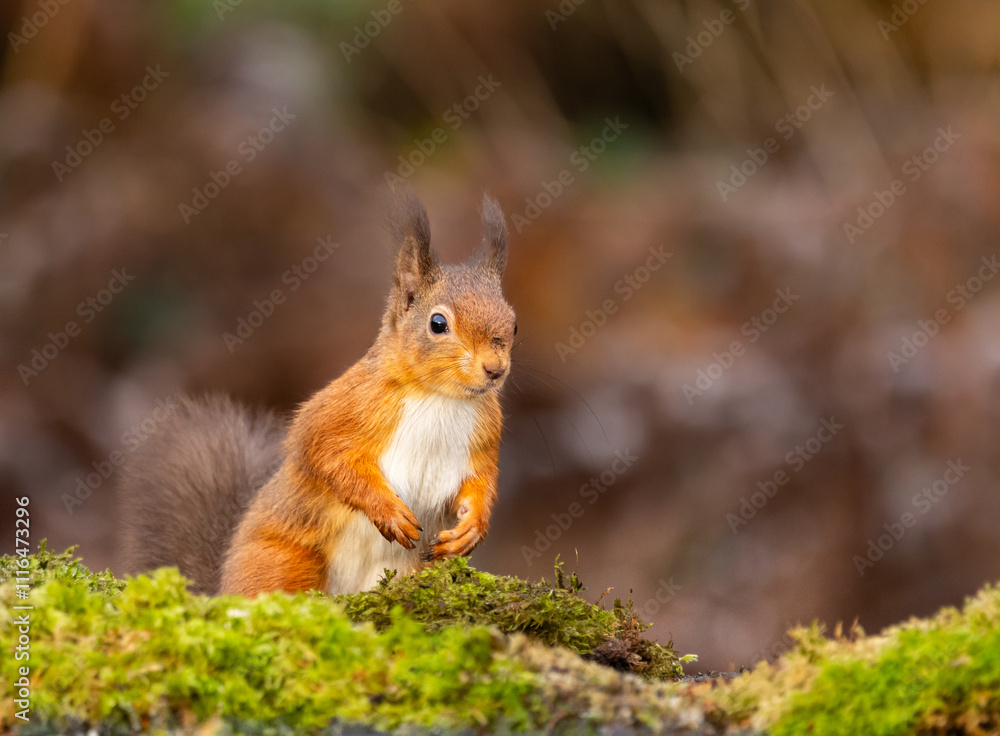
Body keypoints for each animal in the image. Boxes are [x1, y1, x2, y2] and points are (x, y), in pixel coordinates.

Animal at [119, 191, 516, 597]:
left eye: (513, 324)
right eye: (438, 324)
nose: (495, 369)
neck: (440, 397)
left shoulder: (484, 438)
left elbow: (481, 482)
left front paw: (472, 528)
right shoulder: (341, 409)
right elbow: (328, 457)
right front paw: (388, 511)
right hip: (283, 560)